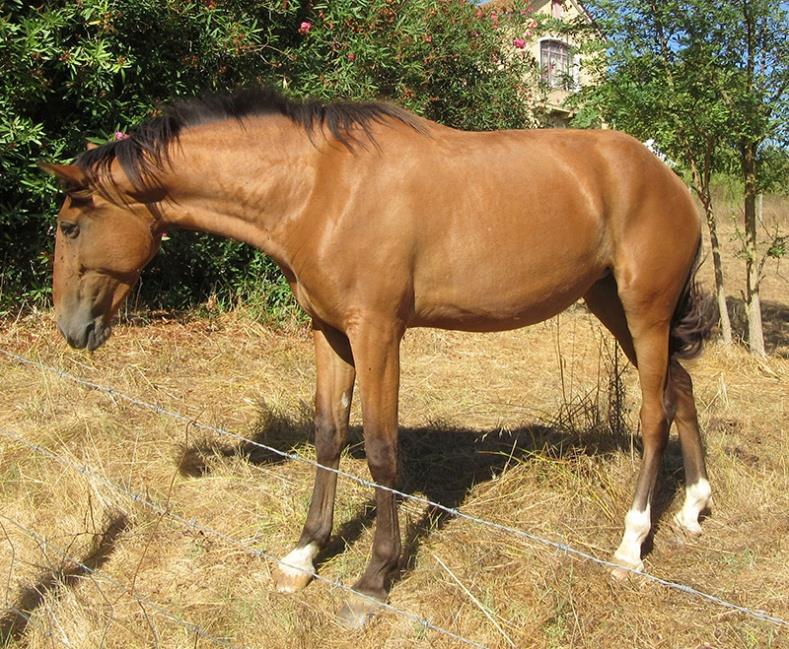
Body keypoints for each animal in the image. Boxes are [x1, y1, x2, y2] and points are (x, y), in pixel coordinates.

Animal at [41, 87, 716, 628]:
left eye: (70, 228)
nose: (70, 330)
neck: (320, 188)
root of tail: (671, 178)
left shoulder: (378, 334)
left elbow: (383, 450)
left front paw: (372, 581)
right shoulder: (329, 332)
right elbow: (329, 435)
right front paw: (304, 554)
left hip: (645, 311)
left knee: (653, 414)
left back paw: (630, 547)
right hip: (612, 305)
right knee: (679, 388)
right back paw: (693, 507)